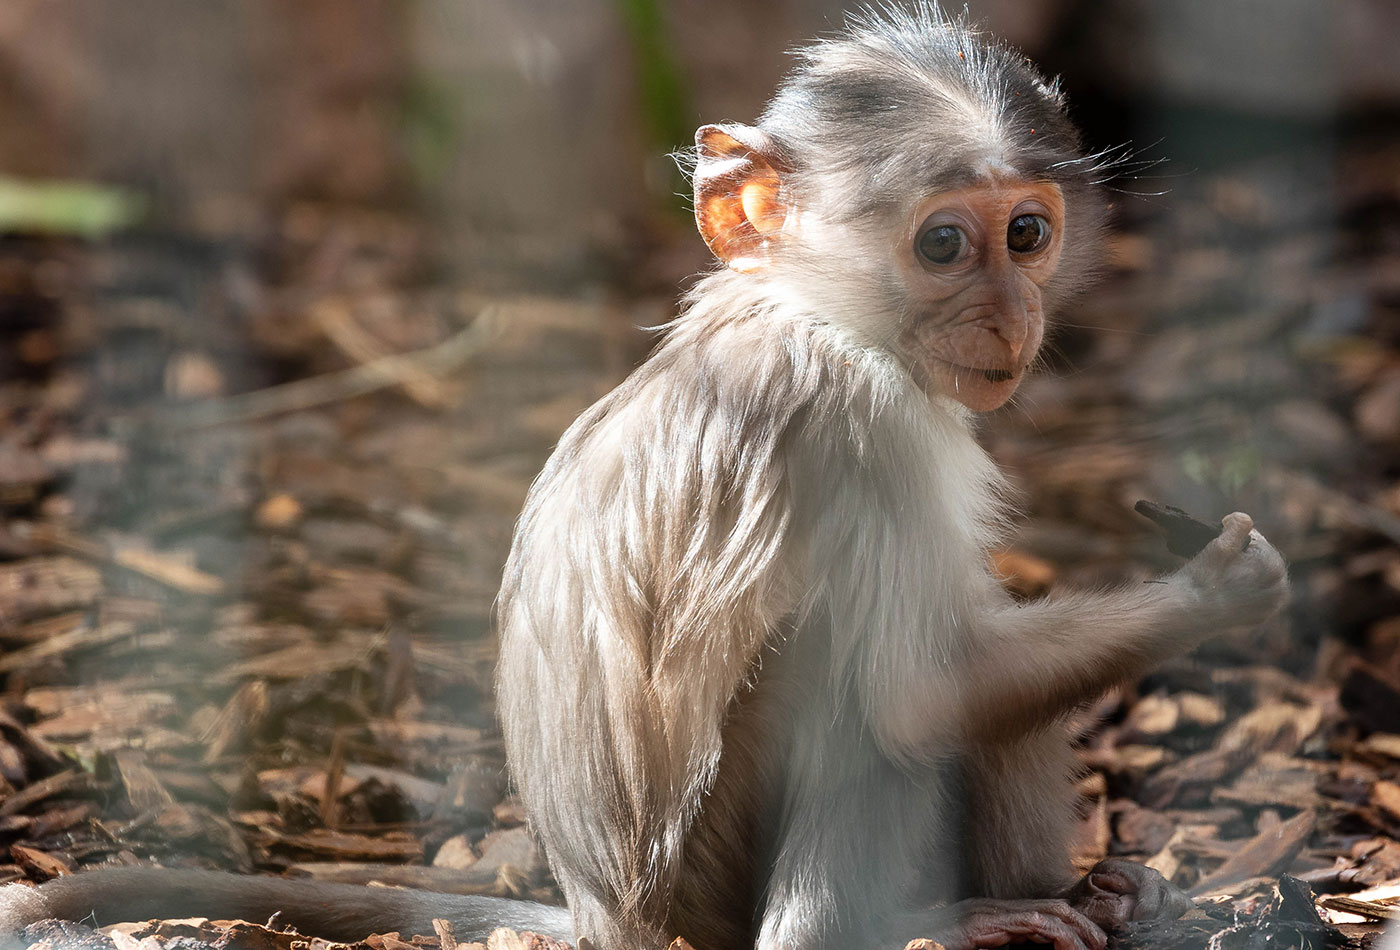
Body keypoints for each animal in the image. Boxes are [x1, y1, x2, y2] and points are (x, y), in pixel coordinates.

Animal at [2, 7, 1288, 950]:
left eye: (1025, 234)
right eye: (941, 243)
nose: (1011, 315)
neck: (803, 311)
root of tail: (601, 909)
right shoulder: (859, 424)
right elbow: (911, 696)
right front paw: (1212, 589)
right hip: (709, 872)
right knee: (870, 680)